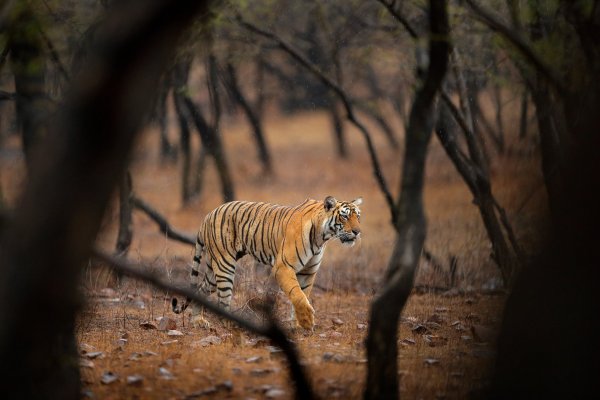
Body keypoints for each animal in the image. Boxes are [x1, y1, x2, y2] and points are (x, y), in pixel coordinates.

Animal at [171, 195, 364, 330]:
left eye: (358, 217)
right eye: (345, 217)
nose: (357, 232)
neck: (322, 237)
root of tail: (208, 215)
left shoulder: (308, 272)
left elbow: (303, 294)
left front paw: (298, 324)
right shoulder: (283, 267)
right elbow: (297, 295)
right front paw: (307, 321)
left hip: (214, 268)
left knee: (200, 289)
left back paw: (198, 321)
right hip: (225, 265)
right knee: (222, 299)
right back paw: (229, 324)